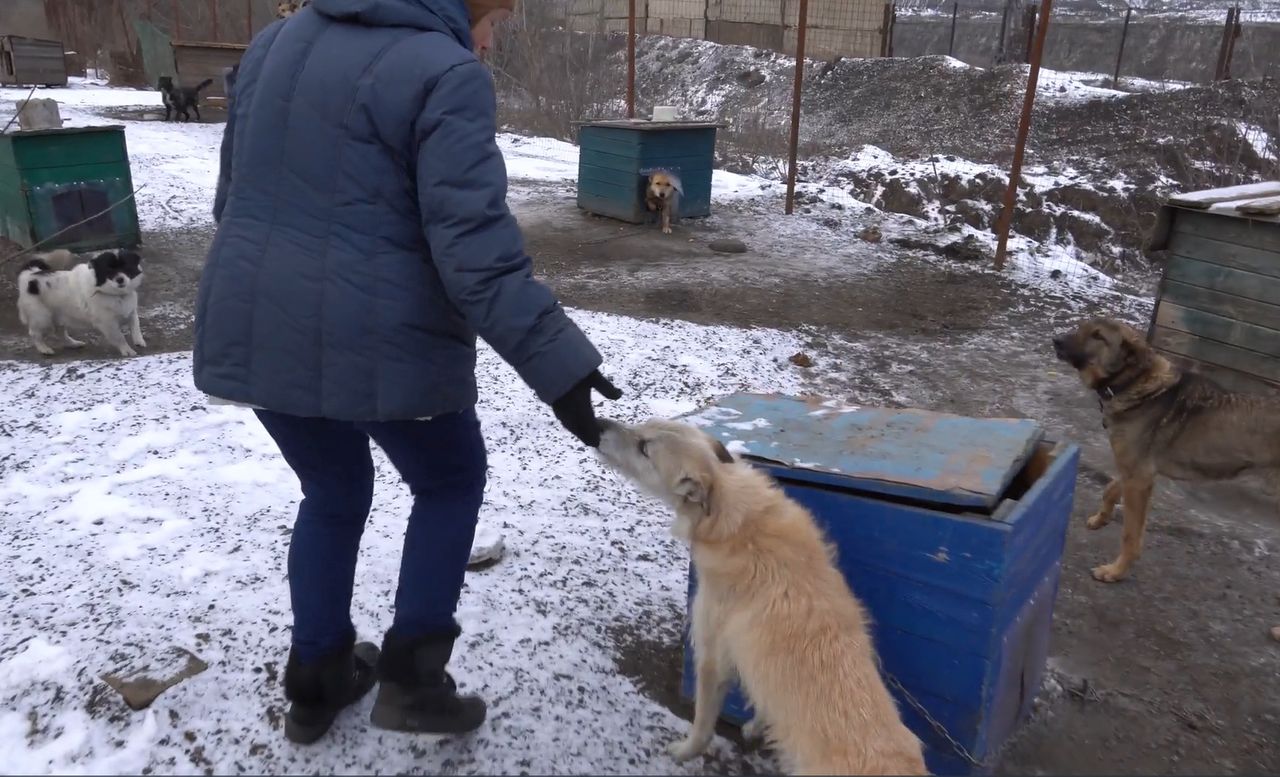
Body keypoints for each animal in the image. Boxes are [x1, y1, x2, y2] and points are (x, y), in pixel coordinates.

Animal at [17, 249, 147, 358]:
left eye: (126, 267)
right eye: (109, 270)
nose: (120, 279)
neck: (116, 294)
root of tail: (29, 275)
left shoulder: (131, 312)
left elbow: (136, 326)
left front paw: (139, 341)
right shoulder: (108, 323)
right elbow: (119, 337)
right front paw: (127, 350)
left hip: (59, 316)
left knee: (60, 333)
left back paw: (73, 344)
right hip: (42, 318)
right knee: (34, 333)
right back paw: (44, 349)